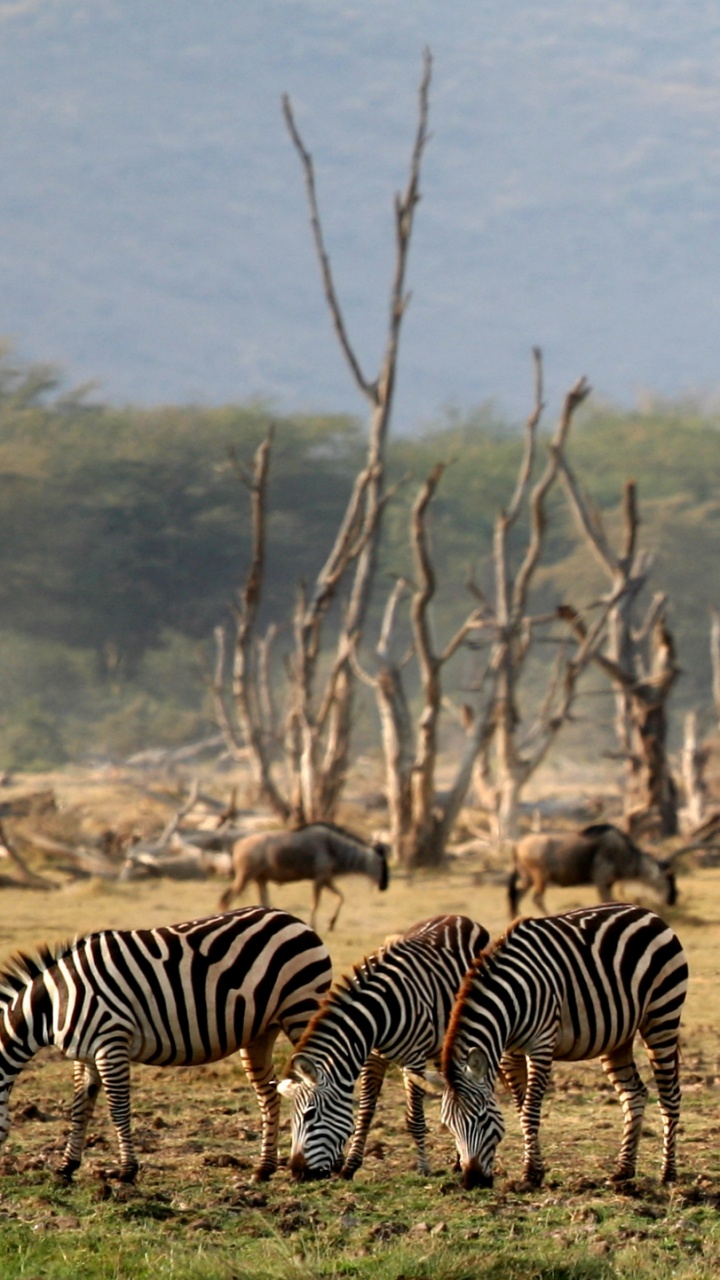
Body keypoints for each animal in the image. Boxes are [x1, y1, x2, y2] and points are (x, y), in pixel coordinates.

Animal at [0, 906, 332, 1184]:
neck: (54, 1003)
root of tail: (293, 919)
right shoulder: (85, 1054)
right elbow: (80, 1107)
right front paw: (65, 1168)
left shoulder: (110, 1042)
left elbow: (118, 1108)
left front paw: (126, 1172)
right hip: (260, 1032)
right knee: (269, 1096)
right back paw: (263, 1169)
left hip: (302, 1010)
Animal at [218, 822, 390, 931]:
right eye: (381, 862)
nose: (384, 885)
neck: (334, 846)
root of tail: (238, 845)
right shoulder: (319, 879)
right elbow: (315, 903)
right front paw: (314, 925)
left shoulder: (326, 879)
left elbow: (340, 897)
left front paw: (331, 924)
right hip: (245, 878)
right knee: (226, 897)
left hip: (260, 880)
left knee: (262, 902)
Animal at [278, 914, 491, 1180]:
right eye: (292, 1118)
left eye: (310, 1115)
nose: (297, 1172)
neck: (378, 1012)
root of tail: (458, 917)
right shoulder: (373, 1055)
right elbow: (365, 1112)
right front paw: (350, 1167)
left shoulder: (413, 1059)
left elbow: (415, 1118)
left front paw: (424, 1168)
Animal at [439, 903, 688, 1190]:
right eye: (448, 1125)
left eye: (482, 1117)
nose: (472, 1181)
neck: (510, 1001)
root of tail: (647, 912)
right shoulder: (510, 1053)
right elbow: (521, 1109)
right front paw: (536, 1170)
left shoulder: (541, 1044)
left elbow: (530, 1111)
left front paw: (530, 1175)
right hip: (618, 1035)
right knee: (634, 1093)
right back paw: (624, 1170)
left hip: (662, 1015)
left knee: (669, 1096)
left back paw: (668, 1173)